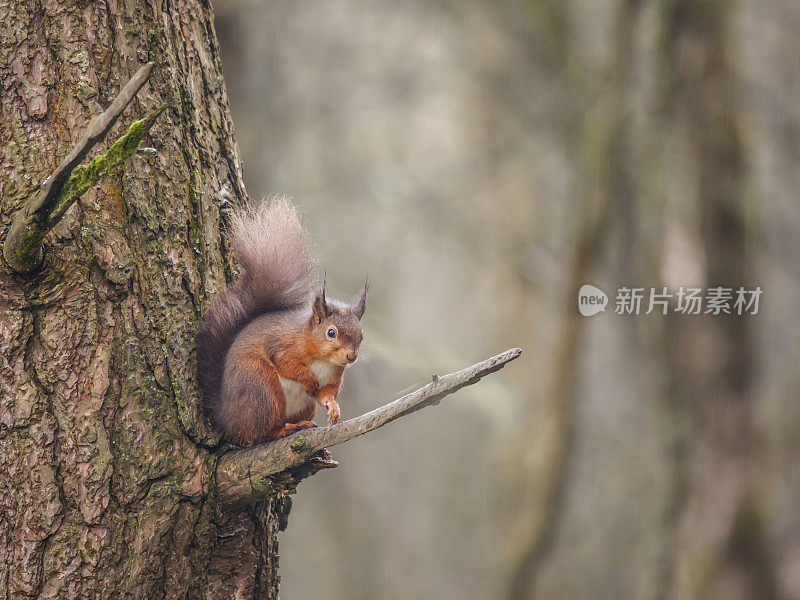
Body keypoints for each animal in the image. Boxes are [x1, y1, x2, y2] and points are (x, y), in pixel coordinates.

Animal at [197, 199, 366, 442]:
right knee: (261, 432)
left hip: (301, 406)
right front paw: (307, 378)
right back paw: (284, 429)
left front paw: (333, 407)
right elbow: (285, 362)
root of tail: (227, 418)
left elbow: (325, 394)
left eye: (361, 335)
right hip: (262, 388)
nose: (351, 357)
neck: (323, 360)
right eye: (331, 332)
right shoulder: (282, 344)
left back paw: (301, 425)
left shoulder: (333, 376)